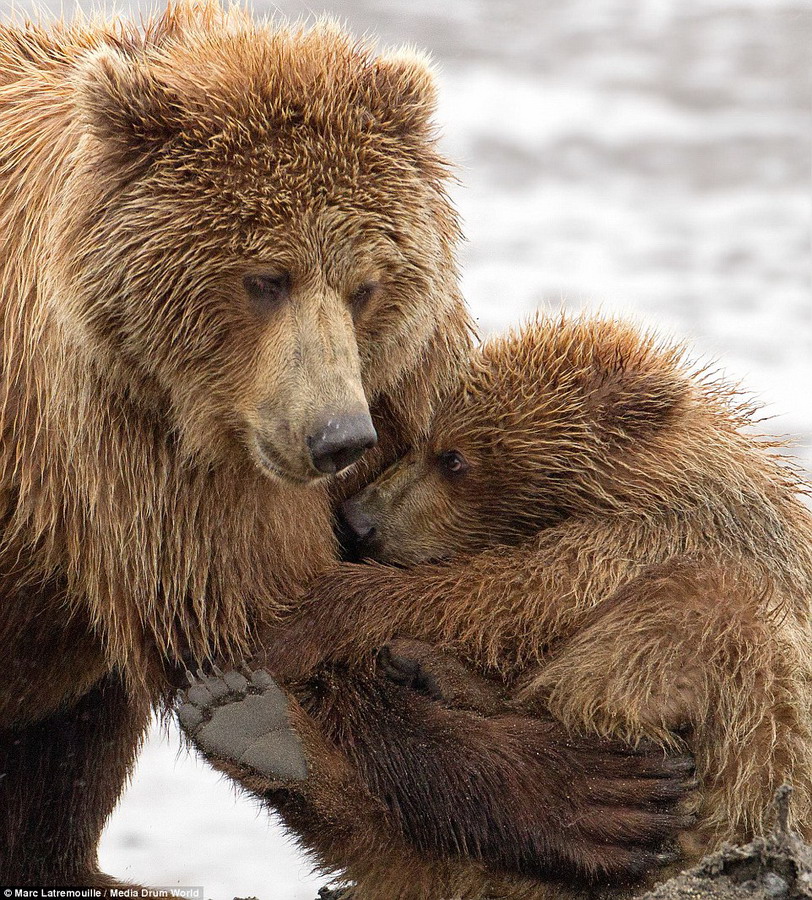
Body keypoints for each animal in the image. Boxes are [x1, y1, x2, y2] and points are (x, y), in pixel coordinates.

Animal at [0, 1, 688, 884]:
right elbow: (243, 607)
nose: (338, 438)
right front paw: (594, 791)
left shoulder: (395, 378)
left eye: (365, 283)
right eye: (265, 278)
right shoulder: (126, 426)